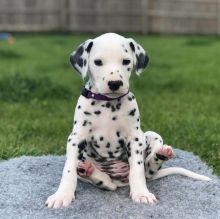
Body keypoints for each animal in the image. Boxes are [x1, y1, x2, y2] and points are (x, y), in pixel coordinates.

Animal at [45, 33, 211, 209]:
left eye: (125, 61)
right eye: (98, 62)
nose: (114, 83)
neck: (108, 103)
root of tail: (119, 179)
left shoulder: (135, 138)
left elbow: (137, 170)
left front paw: (141, 193)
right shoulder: (76, 138)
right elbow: (69, 170)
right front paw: (62, 195)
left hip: (151, 135)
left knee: (147, 170)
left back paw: (161, 154)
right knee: (105, 183)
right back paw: (90, 172)